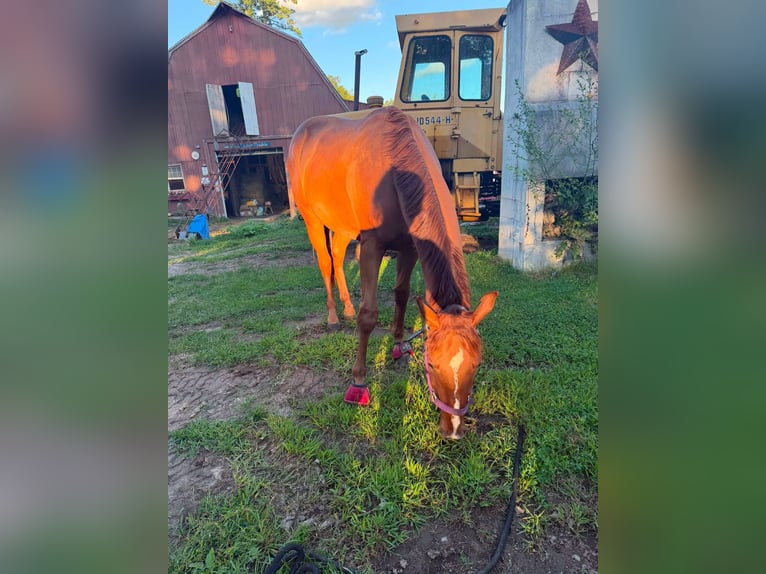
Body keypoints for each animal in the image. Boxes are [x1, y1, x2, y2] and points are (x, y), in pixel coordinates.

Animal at [286, 106, 498, 440]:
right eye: (432, 365)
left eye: (476, 365)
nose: (452, 430)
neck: (396, 166)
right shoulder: (372, 246)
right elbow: (369, 315)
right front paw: (358, 382)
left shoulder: (410, 246)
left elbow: (401, 294)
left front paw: (398, 345)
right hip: (312, 219)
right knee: (326, 262)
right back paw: (333, 315)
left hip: (343, 227)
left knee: (337, 256)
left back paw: (346, 307)